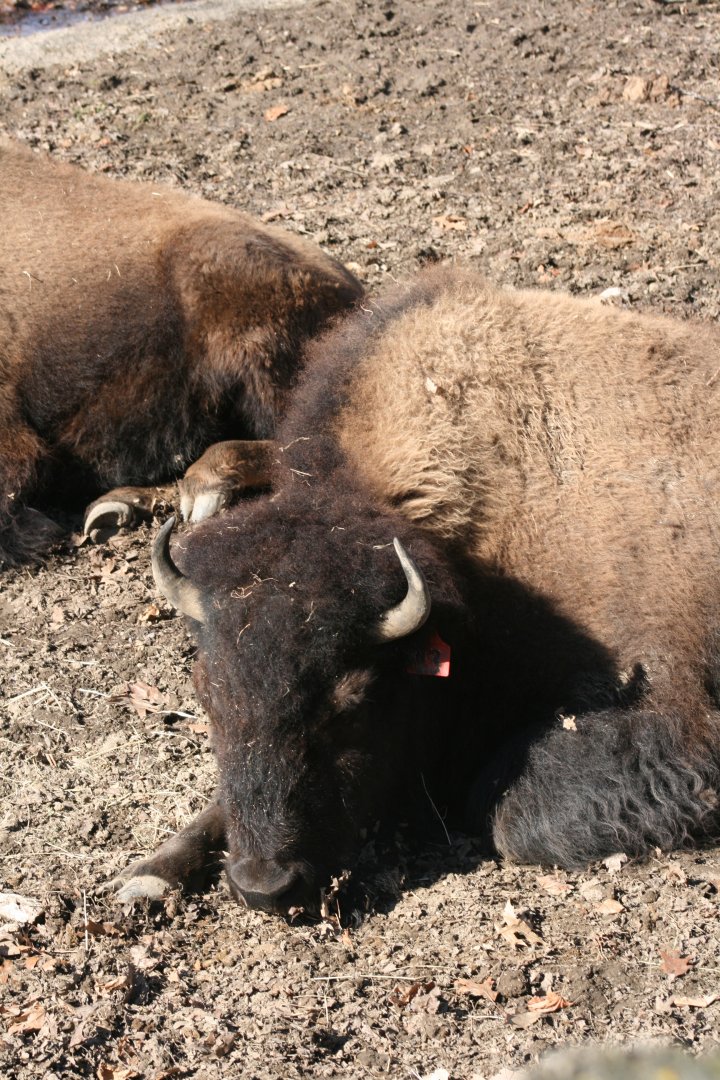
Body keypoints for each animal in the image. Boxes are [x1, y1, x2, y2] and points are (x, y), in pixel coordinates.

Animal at [108, 266, 720, 914]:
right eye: (208, 694)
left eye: (352, 705)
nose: (264, 886)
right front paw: (151, 873)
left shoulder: (658, 707)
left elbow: (505, 811)